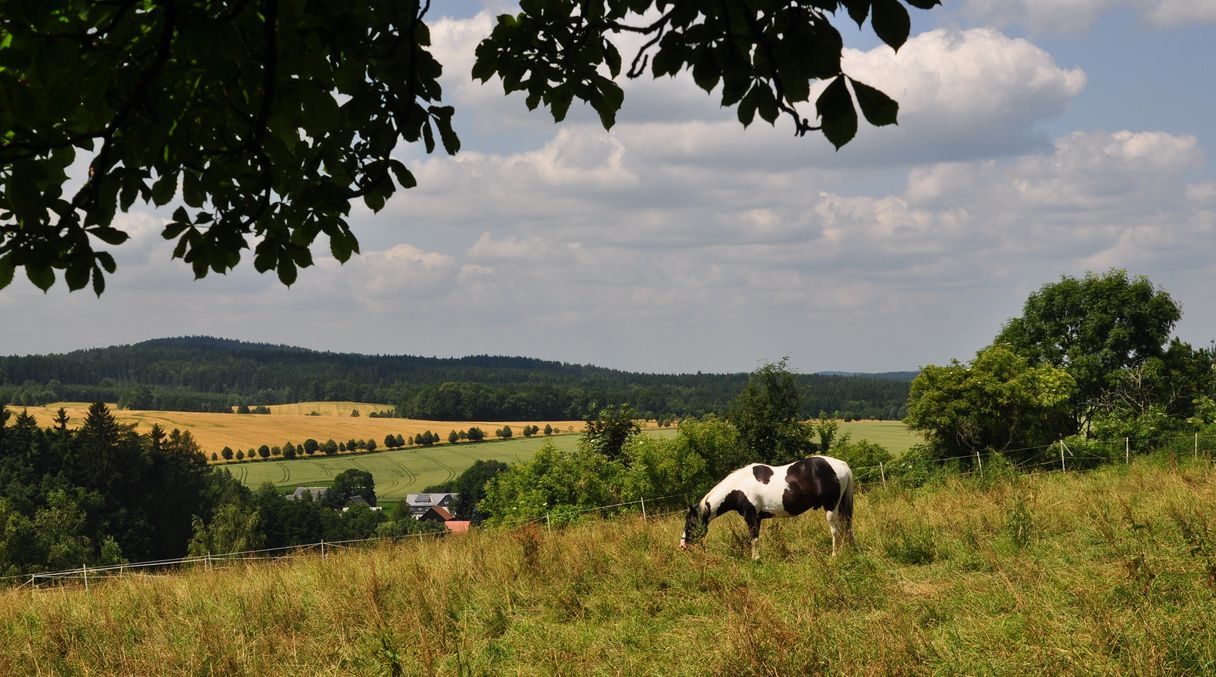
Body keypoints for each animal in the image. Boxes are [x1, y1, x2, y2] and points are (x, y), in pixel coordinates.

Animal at [685, 454, 856, 559]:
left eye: (691, 524)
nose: (683, 545)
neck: (740, 486)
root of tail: (841, 465)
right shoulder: (757, 517)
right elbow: (755, 538)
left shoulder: (751, 516)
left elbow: (753, 537)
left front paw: (755, 558)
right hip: (840, 507)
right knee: (846, 528)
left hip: (831, 507)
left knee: (836, 530)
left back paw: (834, 555)